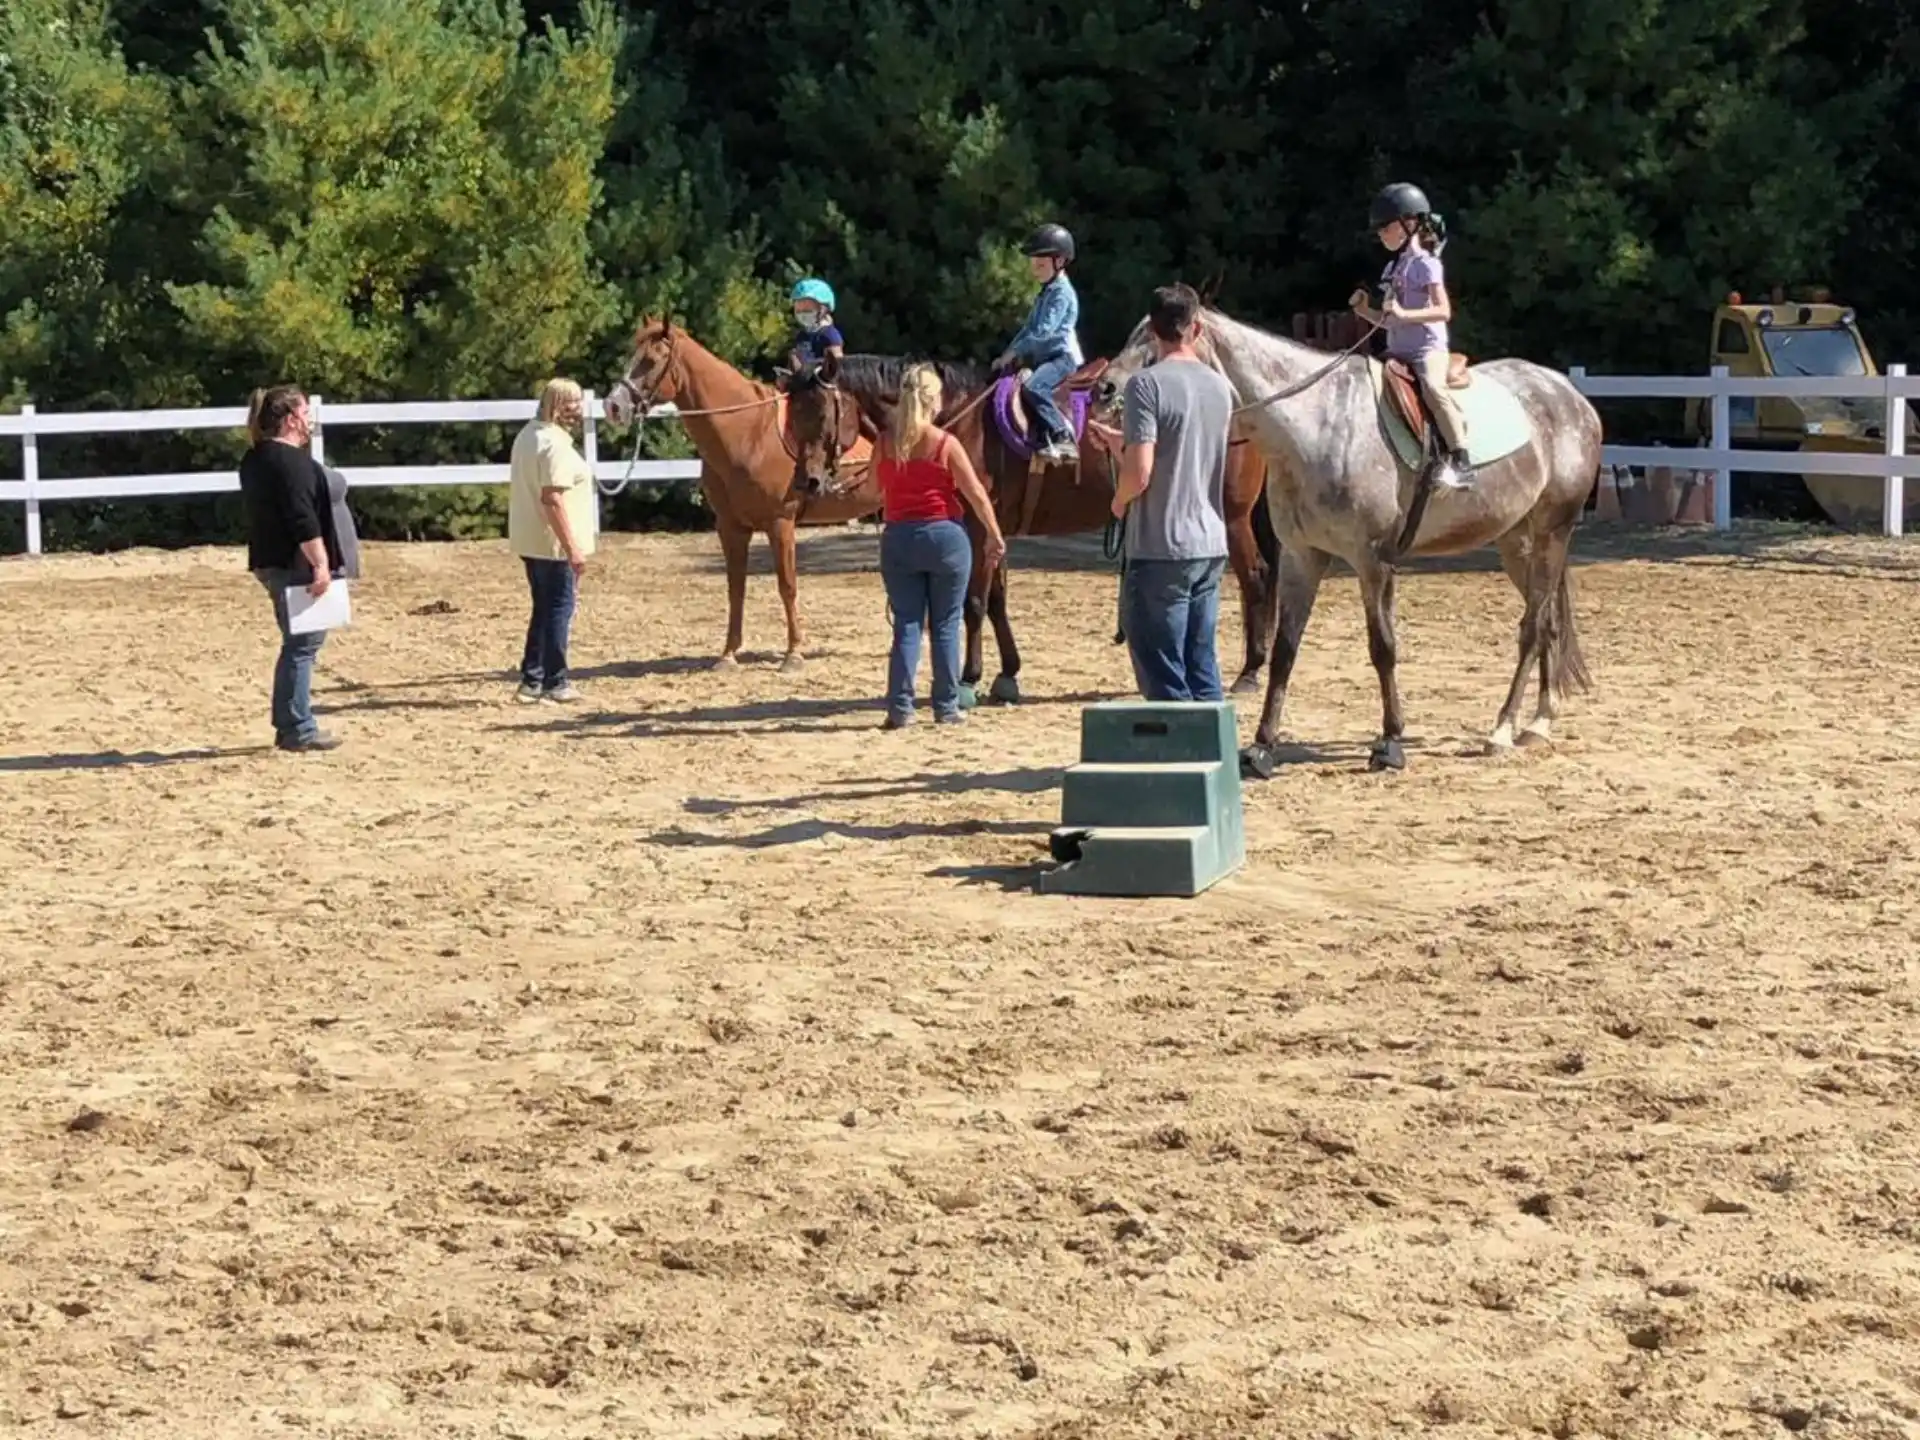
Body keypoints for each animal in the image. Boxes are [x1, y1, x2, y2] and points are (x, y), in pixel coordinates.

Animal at [603, 318, 883, 672]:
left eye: (651, 360)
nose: (612, 406)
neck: (748, 433)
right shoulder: (730, 527)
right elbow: (735, 588)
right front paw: (728, 654)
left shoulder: (780, 523)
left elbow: (787, 585)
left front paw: (793, 653)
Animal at [782, 353, 1280, 701]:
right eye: (791, 417)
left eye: (822, 414)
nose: (808, 481)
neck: (958, 419)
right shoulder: (993, 527)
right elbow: (997, 601)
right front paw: (1008, 674)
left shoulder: (977, 526)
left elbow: (975, 603)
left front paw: (970, 678)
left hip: (1232, 517)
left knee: (1255, 578)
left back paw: (1250, 671)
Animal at [1095, 305, 1601, 774]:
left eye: (1155, 342)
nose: (1103, 390)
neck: (1316, 425)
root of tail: (1568, 394)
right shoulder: (1303, 556)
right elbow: (1285, 650)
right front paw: (1262, 747)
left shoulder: (1373, 561)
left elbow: (1383, 648)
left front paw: (1390, 743)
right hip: (1517, 544)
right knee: (1548, 622)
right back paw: (1539, 721)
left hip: (1551, 533)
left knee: (1532, 628)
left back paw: (1503, 728)